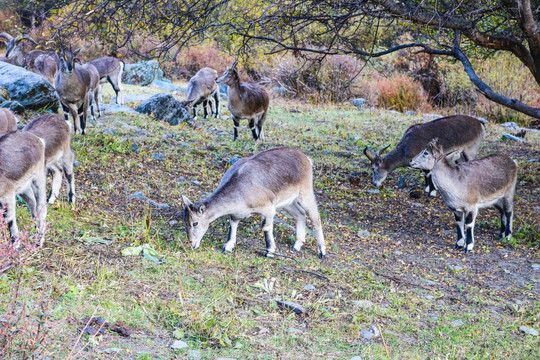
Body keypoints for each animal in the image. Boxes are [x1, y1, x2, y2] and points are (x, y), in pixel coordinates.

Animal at [180, 146, 324, 258]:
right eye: (184, 220)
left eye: (195, 223)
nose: (191, 242)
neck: (241, 191)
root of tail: (306, 158)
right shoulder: (237, 213)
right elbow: (233, 224)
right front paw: (227, 247)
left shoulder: (268, 208)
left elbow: (266, 227)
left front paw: (269, 251)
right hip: (287, 202)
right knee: (299, 214)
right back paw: (296, 245)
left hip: (305, 191)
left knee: (315, 216)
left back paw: (321, 251)